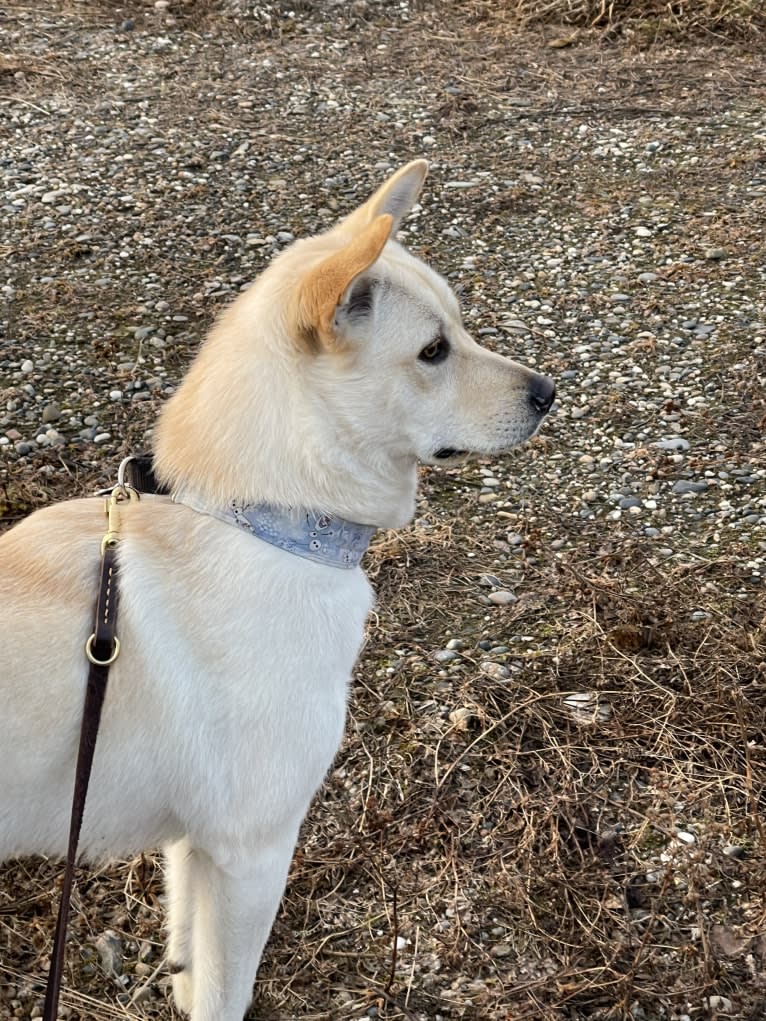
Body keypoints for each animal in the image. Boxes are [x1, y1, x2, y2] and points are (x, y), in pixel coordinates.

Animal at [0, 157, 551, 1012]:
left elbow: (190, 974)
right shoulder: (252, 853)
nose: (547, 392)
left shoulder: (194, 848)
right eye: (433, 351)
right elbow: (226, 995)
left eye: (459, 328)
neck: (260, 519)